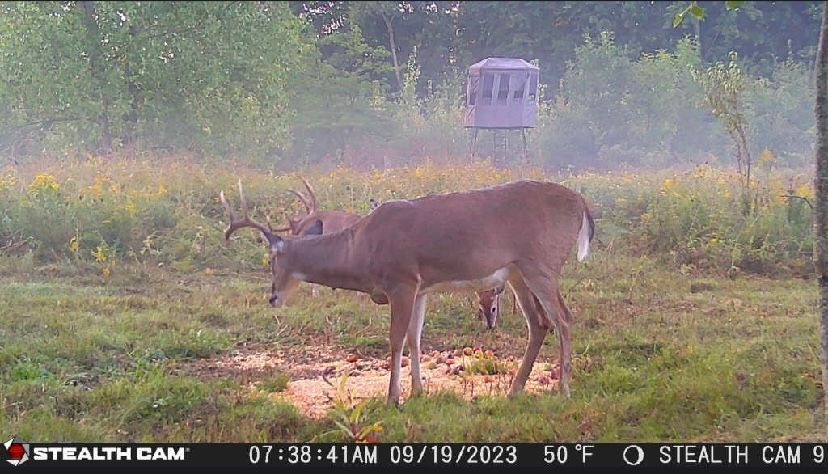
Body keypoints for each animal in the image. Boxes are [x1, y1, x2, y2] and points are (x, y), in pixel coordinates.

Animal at [220, 179, 594, 404]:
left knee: (564, 318)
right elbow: (415, 338)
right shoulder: (421, 286)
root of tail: (582, 202)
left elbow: (396, 338)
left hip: (542, 263)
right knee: (539, 323)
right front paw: (417, 392)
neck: (361, 249)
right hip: (517, 272)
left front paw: (392, 398)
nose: (272, 297)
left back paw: (564, 389)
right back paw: (514, 391)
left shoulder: (401, 280)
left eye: (272, 259)